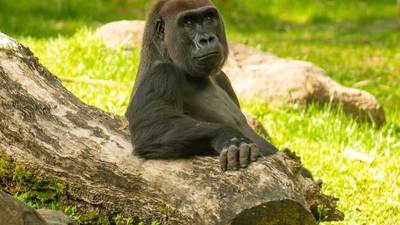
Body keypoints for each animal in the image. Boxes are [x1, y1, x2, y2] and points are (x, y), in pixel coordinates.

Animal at [126, 0, 288, 172]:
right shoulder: (160, 74)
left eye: (208, 19)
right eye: (188, 23)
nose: (206, 39)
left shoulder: (221, 77)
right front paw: (229, 138)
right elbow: (150, 130)